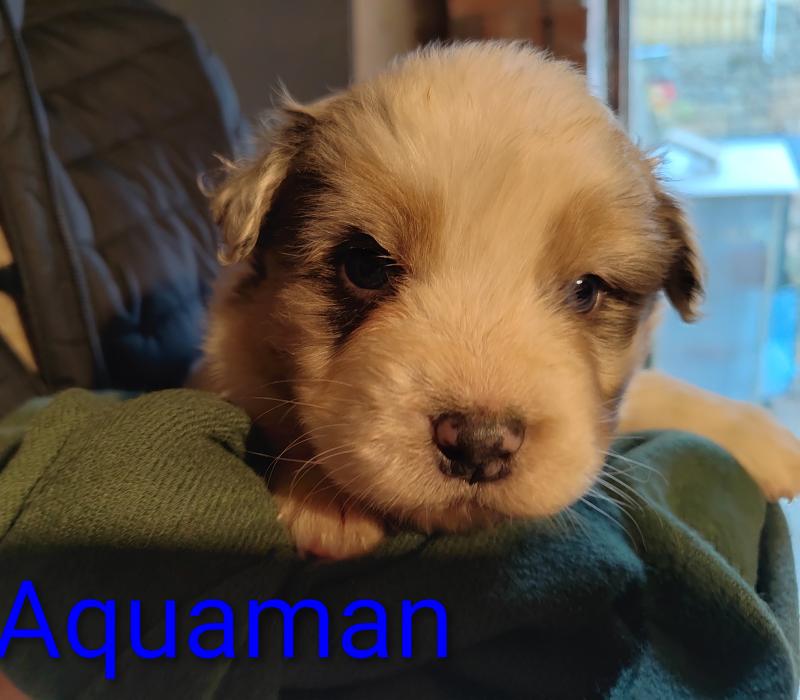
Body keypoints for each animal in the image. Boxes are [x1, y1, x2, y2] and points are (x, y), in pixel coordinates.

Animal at [198, 41, 800, 559]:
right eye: (364, 266)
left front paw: (761, 436)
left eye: (586, 290)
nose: (479, 446)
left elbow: (650, 389)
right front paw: (326, 499)